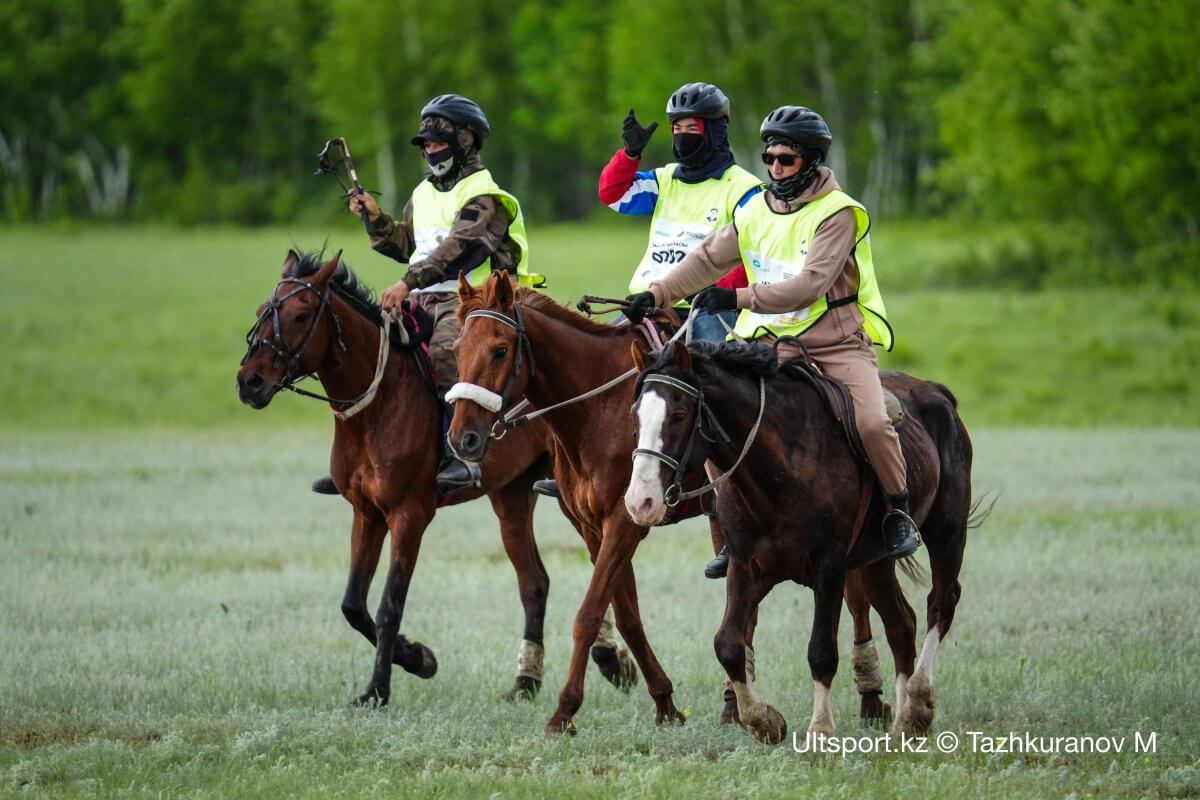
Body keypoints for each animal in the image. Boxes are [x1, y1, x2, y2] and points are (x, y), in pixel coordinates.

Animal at [238, 250, 566, 705]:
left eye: (301, 314)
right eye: (260, 313)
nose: (249, 382)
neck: (381, 404)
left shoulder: (409, 516)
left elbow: (388, 606)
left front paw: (378, 689)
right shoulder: (367, 514)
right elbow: (353, 605)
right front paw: (416, 656)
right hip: (512, 496)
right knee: (535, 582)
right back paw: (528, 680)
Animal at [624, 343, 979, 743]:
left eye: (679, 415)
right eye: (636, 416)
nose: (640, 502)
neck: (779, 468)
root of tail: (936, 392)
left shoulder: (830, 567)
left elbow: (821, 651)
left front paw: (820, 730)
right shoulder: (746, 567)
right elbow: (727, 644)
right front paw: (763, 720)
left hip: (948, 531)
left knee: (941, 603)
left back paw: (918, 701)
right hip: (875, 563)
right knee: (901, 623)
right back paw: (906, 719)